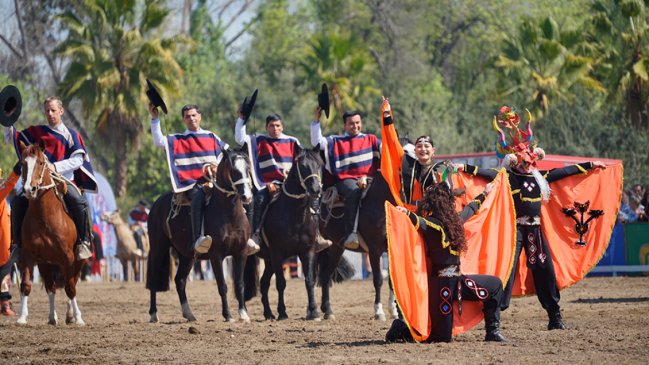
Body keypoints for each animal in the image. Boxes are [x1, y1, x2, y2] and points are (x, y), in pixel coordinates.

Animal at [15, 141, 86, 324]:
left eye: (41, 162)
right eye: (23, 164)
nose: (29, 189)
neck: (45, 217)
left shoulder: (68, 257)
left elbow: (70, 288)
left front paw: (78, 318)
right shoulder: (28, 255)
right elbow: (26, 285)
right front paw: (22, 317)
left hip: (78, 262)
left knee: (71, 283)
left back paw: (70, 315)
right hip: (45, 263)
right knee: (51, 287)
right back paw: (52, 317)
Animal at [146, 148, 254, 322]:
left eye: (248, 168)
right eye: (233, 170)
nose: (247, 196)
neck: (230, 215)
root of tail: (156, 205)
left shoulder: (241, 253)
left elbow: (239, 284)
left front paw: (243, 314)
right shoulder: (216, 255)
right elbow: (222, 286)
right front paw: (228, 315)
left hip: (187, 256)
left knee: (180, 280)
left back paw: (189, 314)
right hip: (158, 248)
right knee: (154, 280)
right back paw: (153, 314)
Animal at [243, 146, 324, 318]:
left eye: (319, 164)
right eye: (303, 166)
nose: (316, 189)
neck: (295, 216)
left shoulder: (307, 251)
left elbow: (309, 280)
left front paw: (314, 311)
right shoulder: (277, 252)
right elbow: (281, 282)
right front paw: (282, 312)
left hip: (269, 261)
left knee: (264, 283)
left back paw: (268, 313)